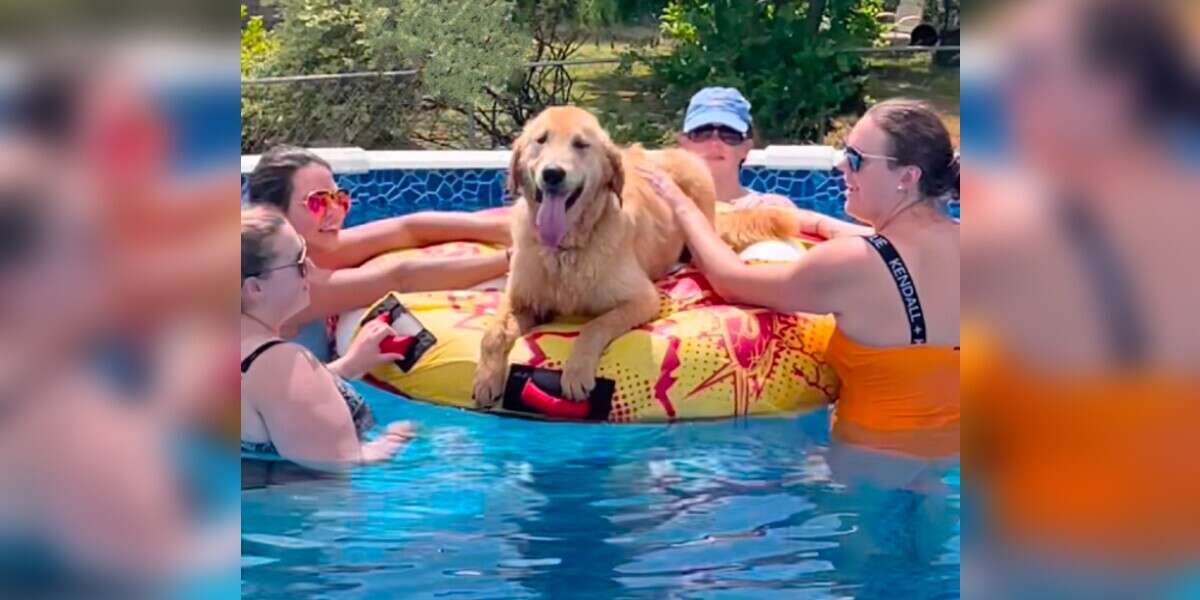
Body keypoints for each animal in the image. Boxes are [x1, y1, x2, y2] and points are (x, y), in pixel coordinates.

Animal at [470, 106, 715, 408]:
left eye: (580, 144)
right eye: (541, 140)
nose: (552, 174)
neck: (565, 249)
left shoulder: (643, 299)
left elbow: (594, 326)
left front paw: (576, 372)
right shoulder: (521, 299)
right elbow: (492, 334)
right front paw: (486, 378)